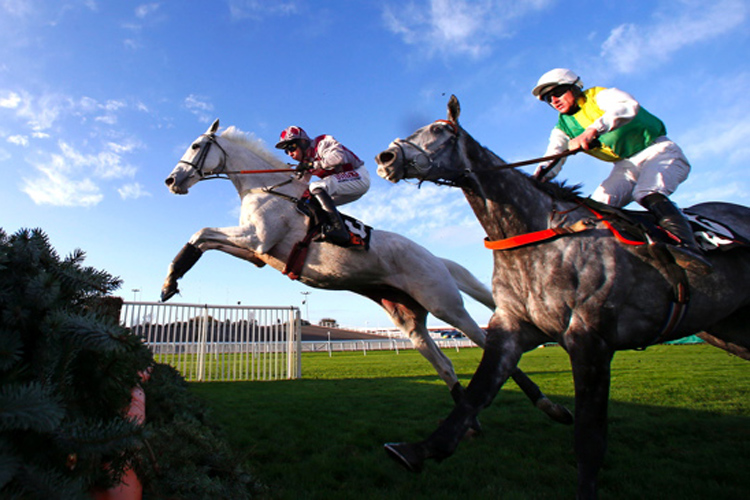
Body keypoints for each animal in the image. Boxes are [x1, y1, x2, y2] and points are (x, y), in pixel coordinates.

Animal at [164, 120, 572, 422]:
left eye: (196, 146)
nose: (171, 181)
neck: (265, 187)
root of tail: (434, 258)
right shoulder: (257, 253)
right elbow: (201, 239)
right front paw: (171, 280)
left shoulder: (257, 240)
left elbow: (200, 232)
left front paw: (169, 281)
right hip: (410, 321)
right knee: (445, 366)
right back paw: (466, 423)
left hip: (446, 305)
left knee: (488, 345)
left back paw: (550, 406)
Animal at [376, 95, 750, 498]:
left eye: (439, 130)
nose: (386, 157)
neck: (536, 231)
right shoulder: (512, 327)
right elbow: (477, 395)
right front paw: (419, 450)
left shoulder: (591, 339)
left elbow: (589, 438)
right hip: (726, 328)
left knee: (652, 190)